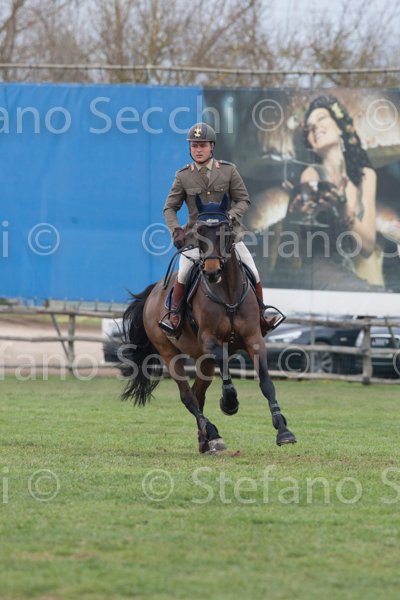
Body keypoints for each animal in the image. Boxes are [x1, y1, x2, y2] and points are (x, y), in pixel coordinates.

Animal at [120, 194, 296, 453]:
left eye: (225, 230)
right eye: (200, 231)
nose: (212, 271)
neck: (228, 292)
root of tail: (153, 291)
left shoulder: (254, 339)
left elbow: (266, 383)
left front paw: (284, 430)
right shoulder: (209, 341)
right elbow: (224, 366)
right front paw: (229, 402)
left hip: (203, 362)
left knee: (198, 394)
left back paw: (207, 440)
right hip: (169, 353)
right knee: (187, 396)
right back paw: (212, 432)